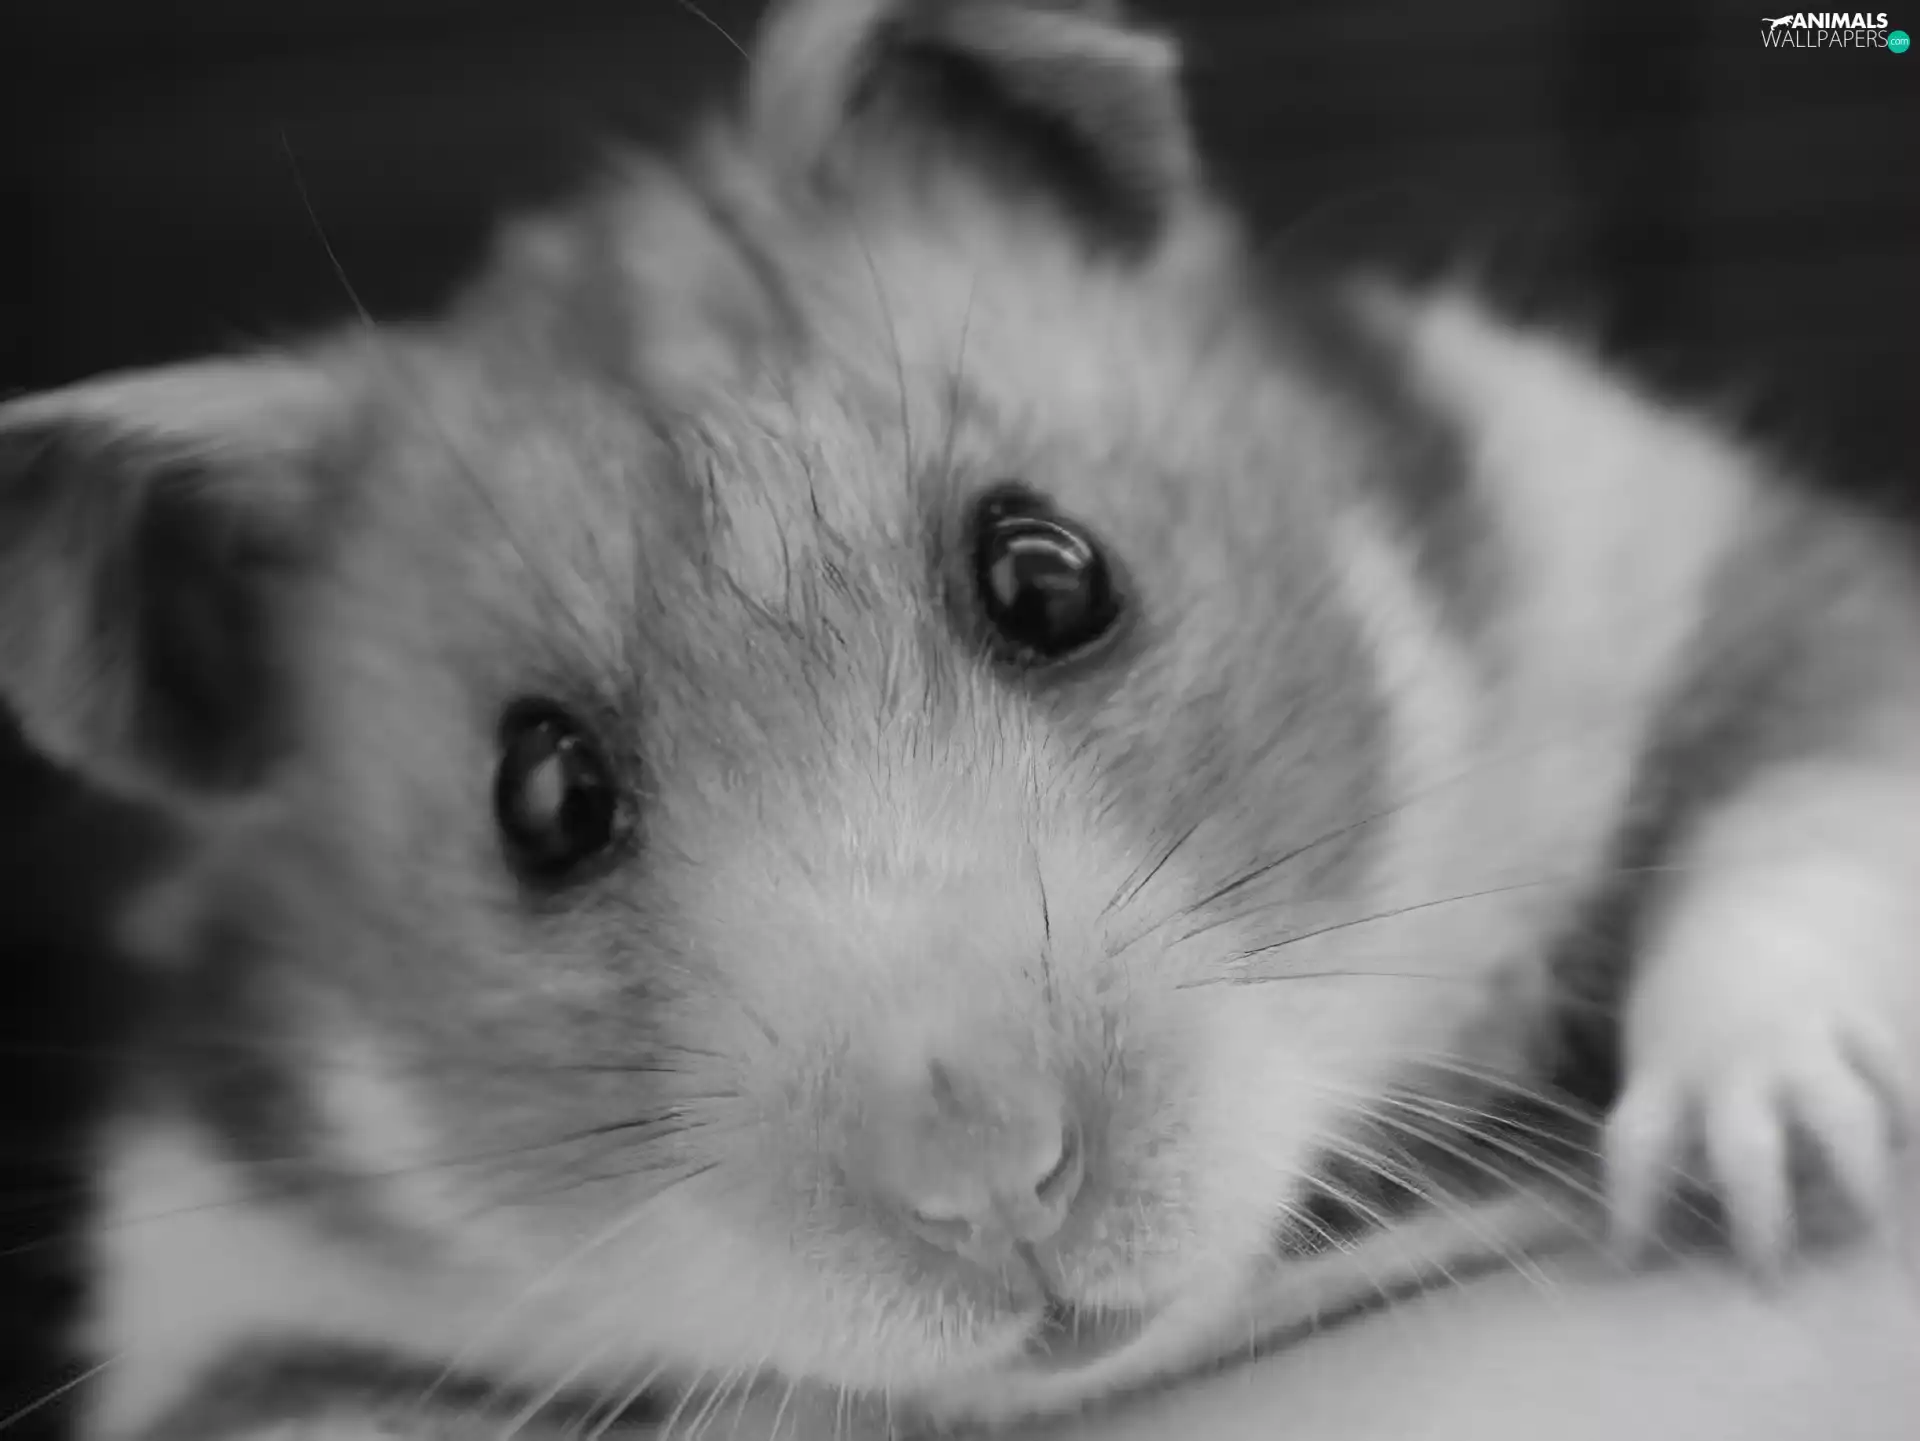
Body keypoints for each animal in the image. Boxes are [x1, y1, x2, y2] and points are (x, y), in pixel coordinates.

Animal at [2, 0, 1917, 1437]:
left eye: (1050, 578)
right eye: (538, 799)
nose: (992, 1182)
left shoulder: (1690, 554)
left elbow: (1805, 799)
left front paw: (1754, 1181)